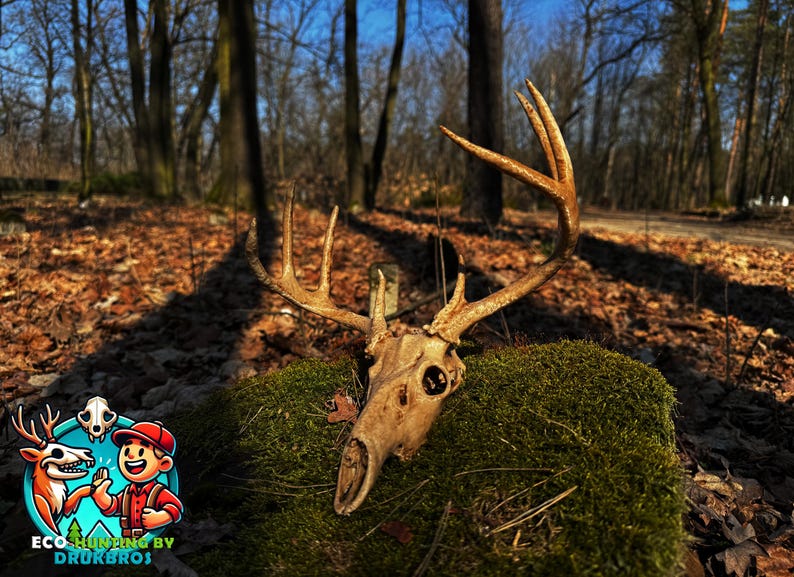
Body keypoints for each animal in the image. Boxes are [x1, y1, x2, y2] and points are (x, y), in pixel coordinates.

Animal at [12, 404, 96, 533]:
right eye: (57, 452)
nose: (87, 452)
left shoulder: (63, 507)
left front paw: (93, 487)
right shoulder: (46, 512)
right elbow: (55, 530)